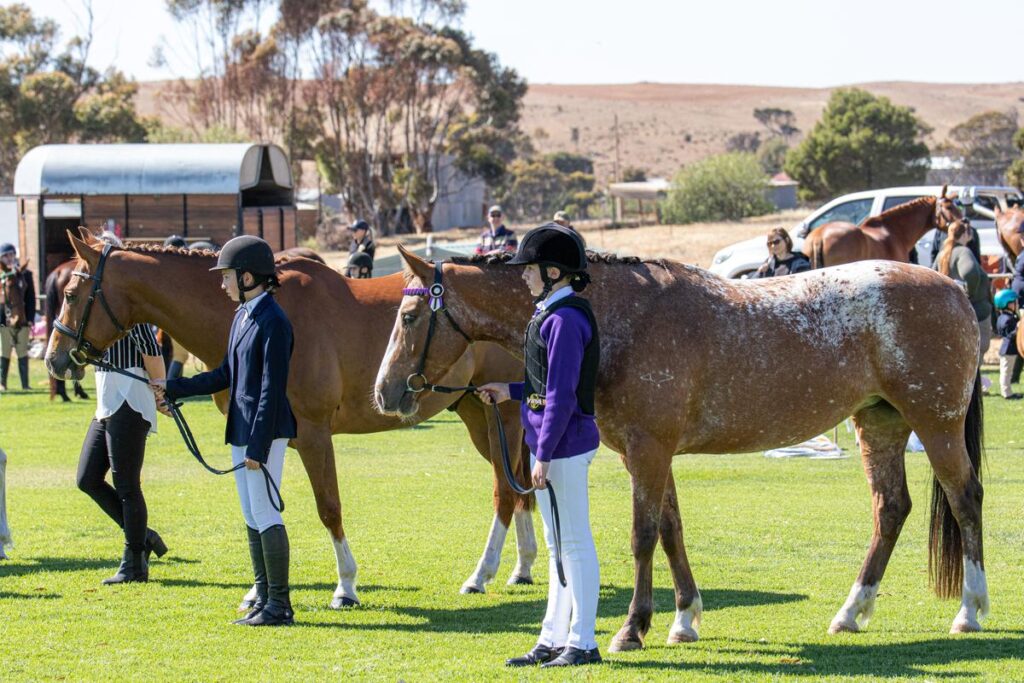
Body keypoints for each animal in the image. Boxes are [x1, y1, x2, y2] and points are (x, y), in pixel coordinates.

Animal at [41, 231, 536, 610]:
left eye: (70, 294)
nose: (55, 359)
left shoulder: (314, 435)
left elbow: (328, 508)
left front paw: (346, 587)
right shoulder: (262, 440)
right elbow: (261, 513)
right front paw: (255, 592)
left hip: (501, 414)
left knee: (505, 491)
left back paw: (481, 575)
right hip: (475, 413)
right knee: (521, 490)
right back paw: (522, 567)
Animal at [374, 249, 983, 651]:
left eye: (408, 317)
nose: (385, 392)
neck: (622, 316)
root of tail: (954, 289)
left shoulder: (648, 450)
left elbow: (643, 536)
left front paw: (631, 628)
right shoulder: (649, 452)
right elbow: (671, 531)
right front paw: (684, 618)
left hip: (936, 424)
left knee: (965, 500)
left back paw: (970, 611)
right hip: (878, 423)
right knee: (891, 508)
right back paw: (851, 612)